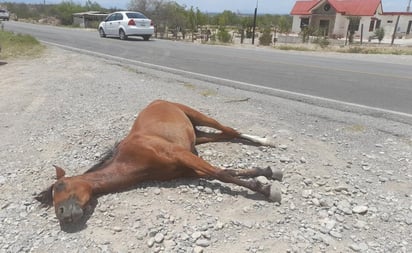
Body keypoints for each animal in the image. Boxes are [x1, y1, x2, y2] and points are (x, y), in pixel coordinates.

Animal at [36, 100, 284, 224]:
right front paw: (267, 172)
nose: (62, 214)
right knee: (225, 135)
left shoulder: (181, 155)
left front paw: (266, 189)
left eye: (61, 185)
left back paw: (266, 141)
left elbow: (222, 174)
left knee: (231, 130)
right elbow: (226, 171)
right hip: (198, 136)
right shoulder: (187, 169)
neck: (132, 158)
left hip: (199, 116)